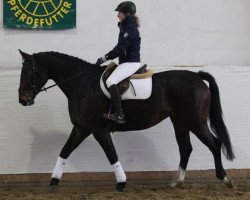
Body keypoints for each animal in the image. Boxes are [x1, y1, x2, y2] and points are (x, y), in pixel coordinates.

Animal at [17, 50, 234, 191]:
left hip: (196, 121)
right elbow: (65, 151)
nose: (22, 99)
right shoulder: (81, 128)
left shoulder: (99, 130)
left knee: (214, 144)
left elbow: (111, 154)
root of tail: (197, 76)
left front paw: (121, 183)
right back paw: (177, 181)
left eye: (27, 72)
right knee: (186, 148)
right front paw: (53, 182)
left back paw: (224, 179)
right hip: (180, 122)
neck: (82, 84)